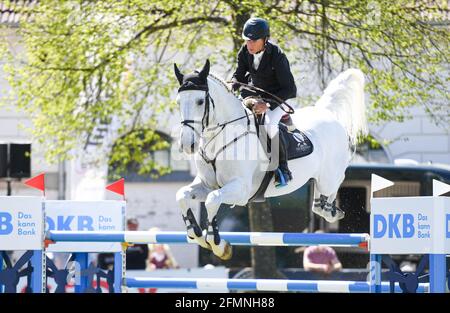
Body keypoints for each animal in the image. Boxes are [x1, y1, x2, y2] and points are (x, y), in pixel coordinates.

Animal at [174, 58, 368, 258]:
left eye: (200, 101)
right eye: (178, 102)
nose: (187, 145)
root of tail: (326, 113)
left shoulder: (241, 190)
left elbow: (212, 200)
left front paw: (219, 245)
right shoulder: (207, 185)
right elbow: (181, 195)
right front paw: (195, 233)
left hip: (329, 176)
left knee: (336, 182)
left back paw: (330, 210)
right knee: (319, 196)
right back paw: (322, 205)